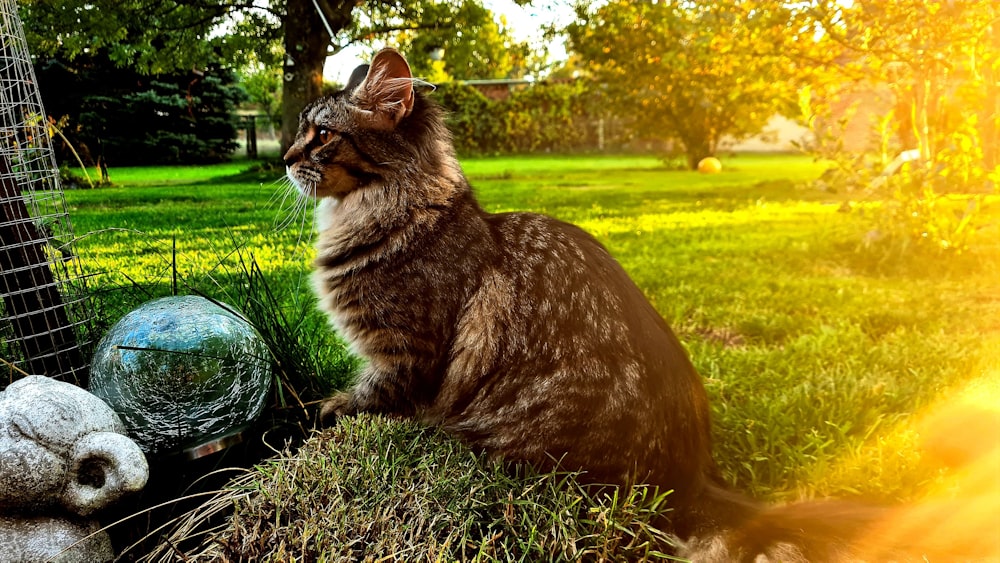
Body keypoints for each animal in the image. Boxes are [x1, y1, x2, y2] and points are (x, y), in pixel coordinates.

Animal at [286, 49, 972, 563]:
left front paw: (303, 422)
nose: (286, 159)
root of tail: (696, 477)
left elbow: (340, 407)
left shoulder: (400, 361)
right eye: (300, 131)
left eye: (321, 135)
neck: (388, 211)